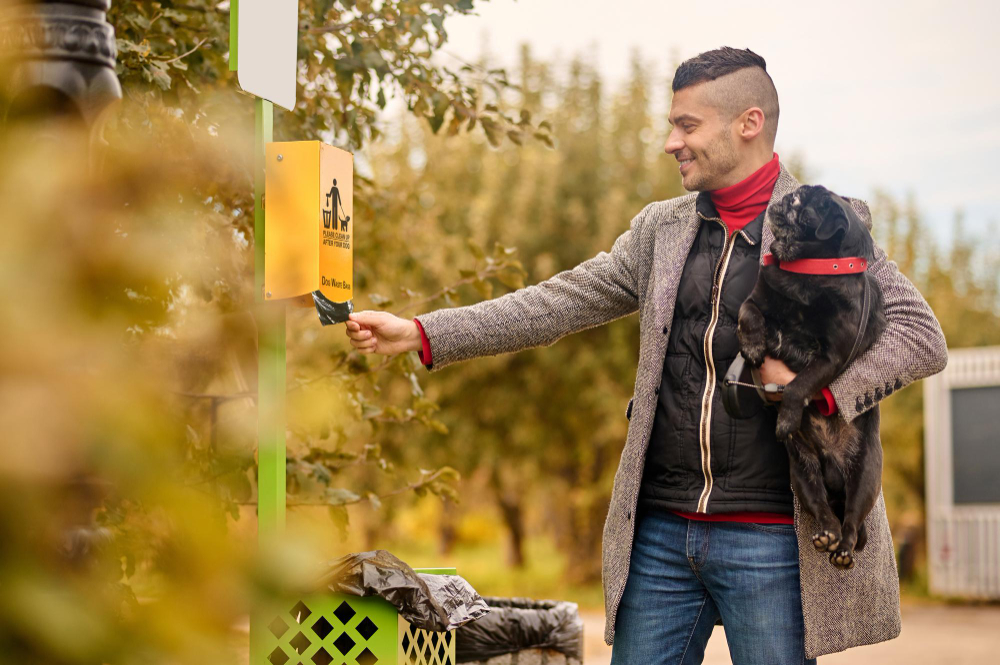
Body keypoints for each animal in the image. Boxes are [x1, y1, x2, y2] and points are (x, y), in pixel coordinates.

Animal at [740, 184, 888, 568]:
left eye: (800, 201)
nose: (786, 197)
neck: (806, 270)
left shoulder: (831, 357)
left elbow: (797, 386)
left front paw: (786, 418)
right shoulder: (756, 301)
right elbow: (749, 314)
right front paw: (751, 346)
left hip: (865, 476)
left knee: (851, 521)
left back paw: (844, 550)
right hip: (802, 473)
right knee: (824, 508)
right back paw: (826, 534)